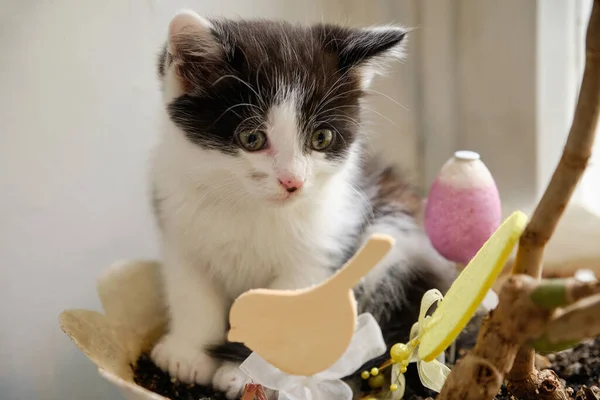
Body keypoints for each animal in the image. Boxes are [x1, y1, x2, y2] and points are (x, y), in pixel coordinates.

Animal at [150, 10, 454, 400]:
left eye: (320, 138)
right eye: (251, 137)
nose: (292, 181)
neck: (250, 207)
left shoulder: (320, 251)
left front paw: (245, 375)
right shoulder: (178, 225)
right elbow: (191, 291)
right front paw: (187, 354)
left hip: (394, 245)